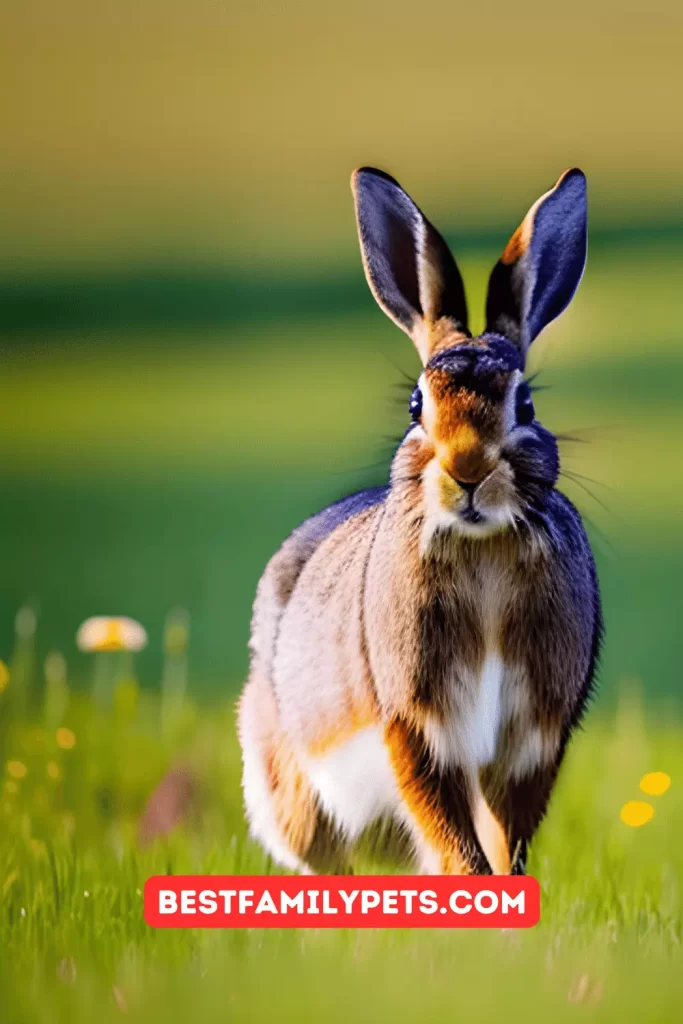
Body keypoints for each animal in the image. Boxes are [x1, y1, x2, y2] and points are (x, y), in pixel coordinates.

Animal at [237, 165, 602, 872]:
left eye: (525, 403)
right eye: (416, 404)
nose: (467, 468)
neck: (482, 545)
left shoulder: (531, 742)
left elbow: (503, 844)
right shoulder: (413, 728)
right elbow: (458, 843)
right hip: (294, 791)